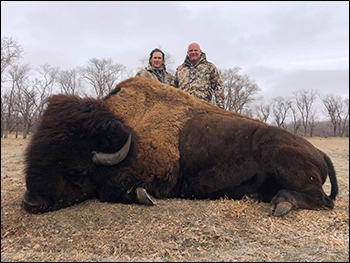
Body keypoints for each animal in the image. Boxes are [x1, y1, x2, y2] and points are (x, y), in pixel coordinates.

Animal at [21, 76, 336, 217]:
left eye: (74, 170)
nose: (32, 203)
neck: (128, 131)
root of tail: (318, 151)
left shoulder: (160, 177)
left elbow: (114, 190)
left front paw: (141, 196)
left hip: (285, 161)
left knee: (319, 199)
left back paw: (281, 203)